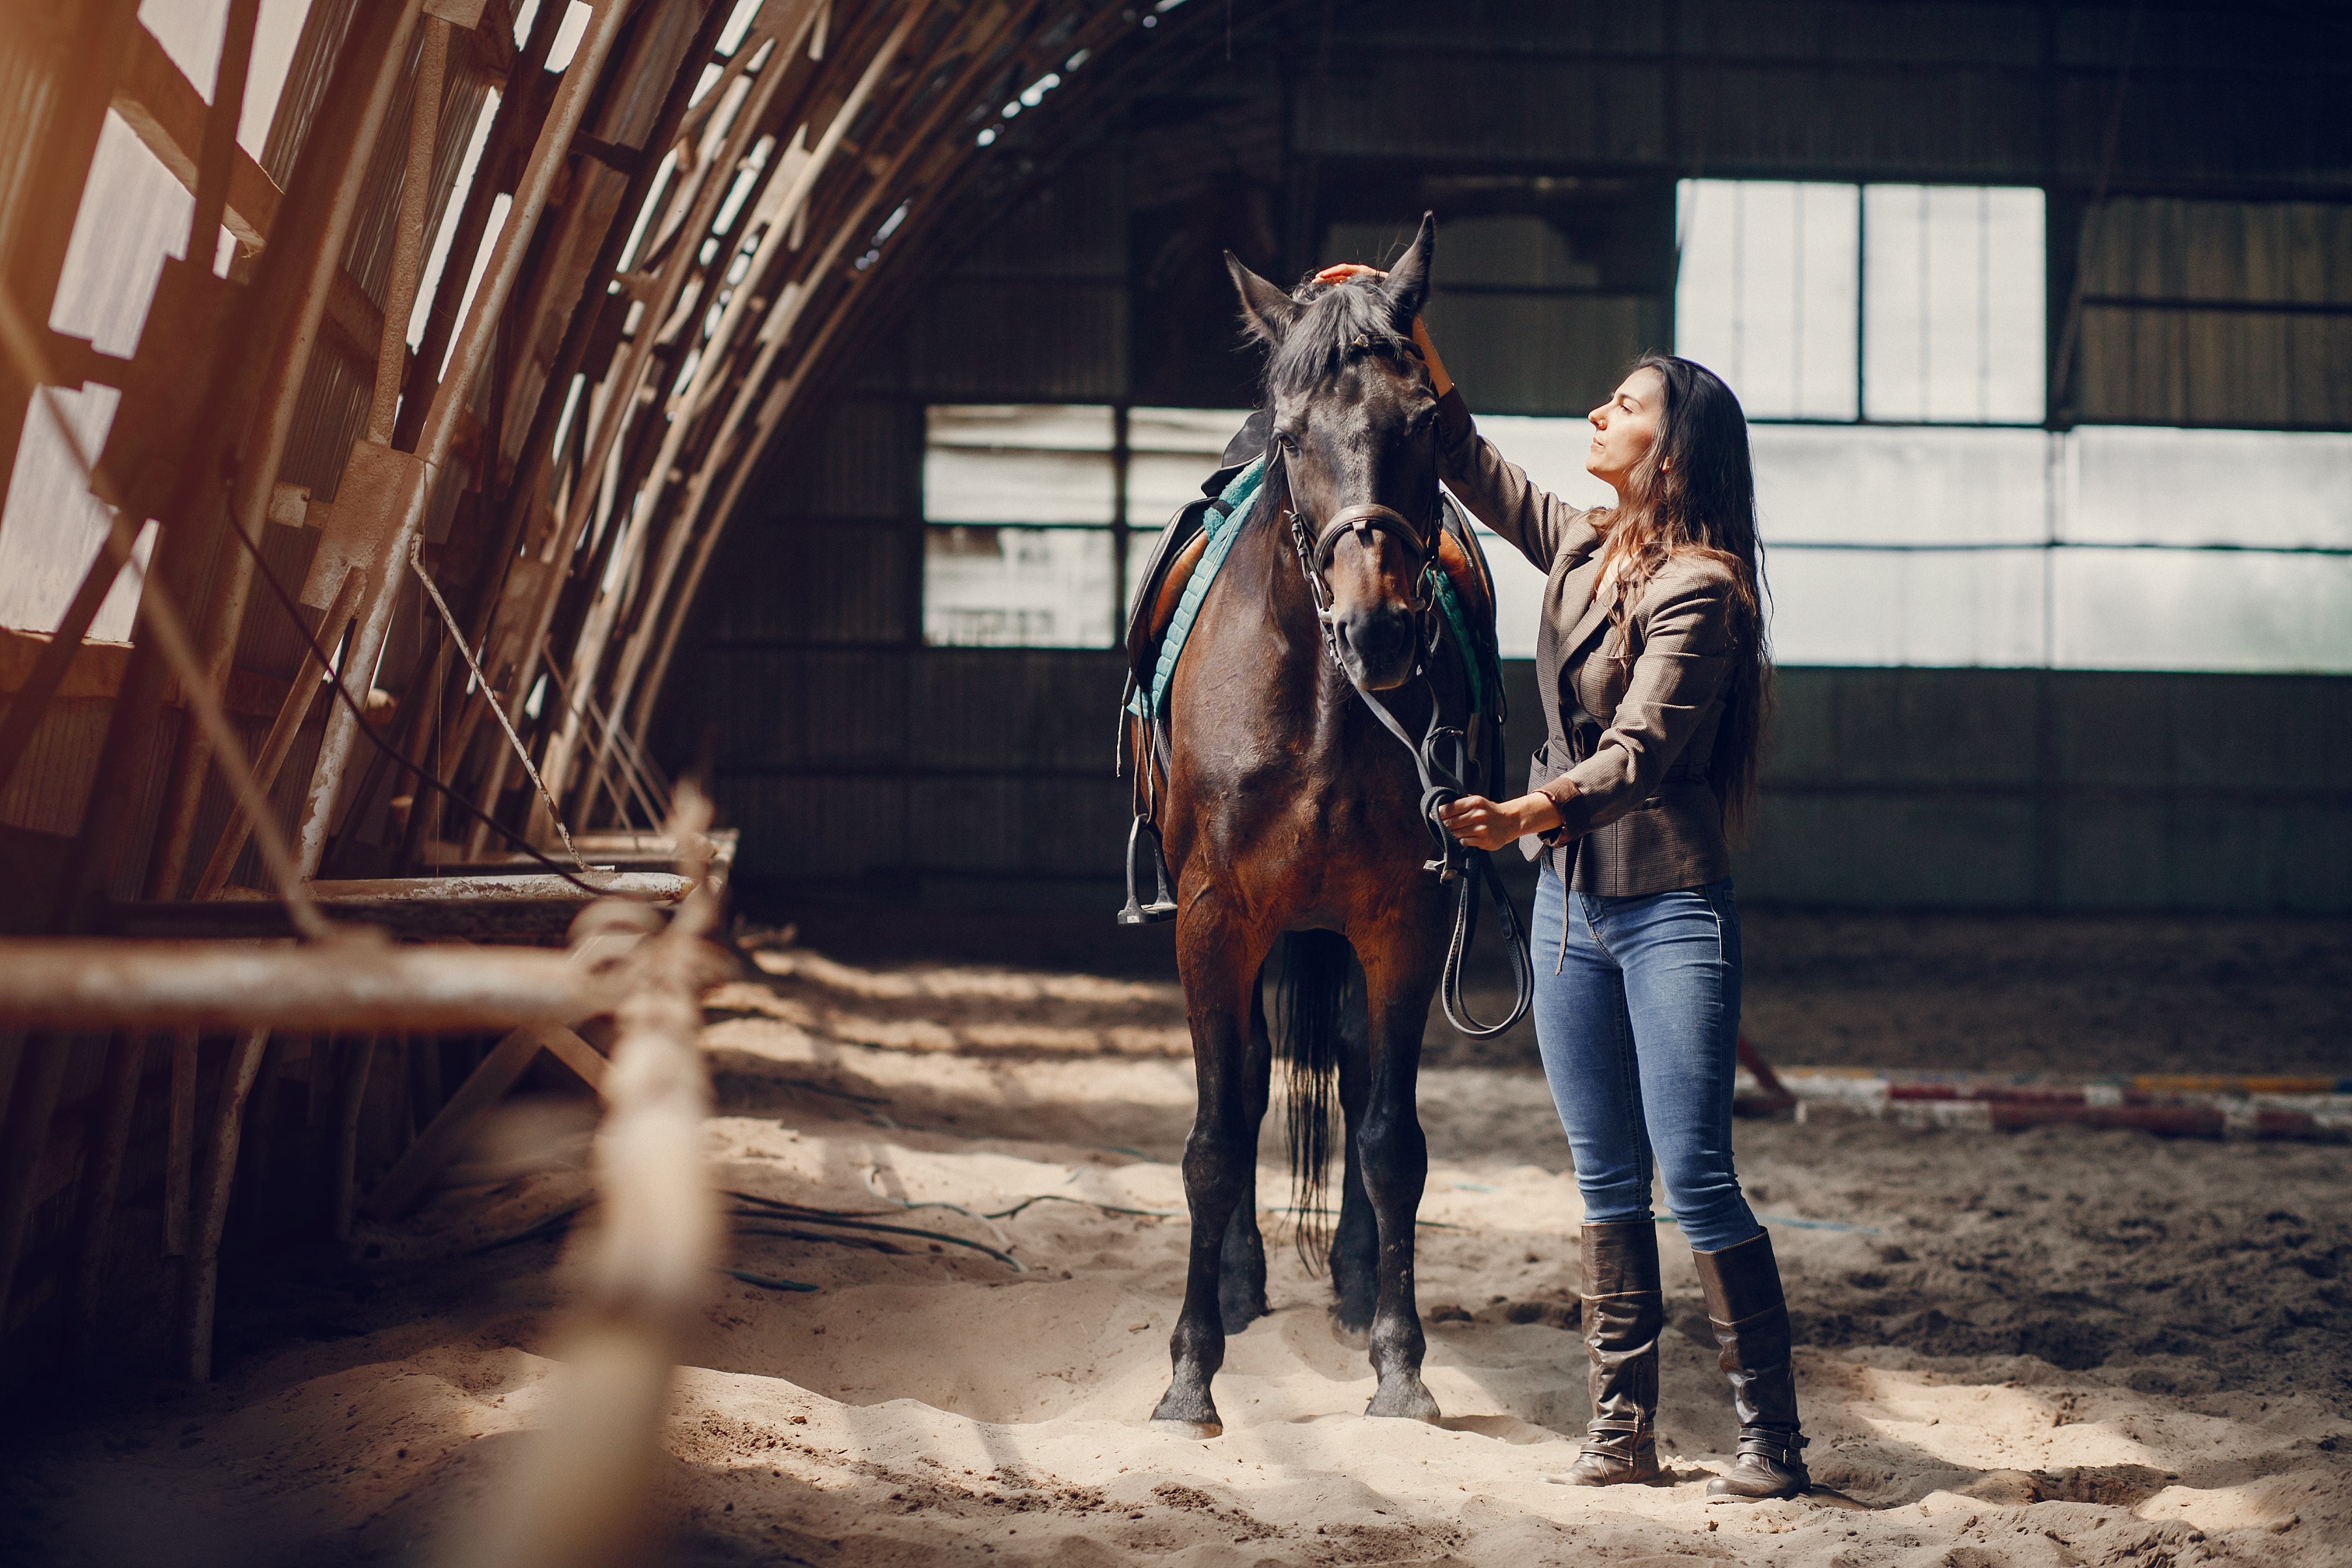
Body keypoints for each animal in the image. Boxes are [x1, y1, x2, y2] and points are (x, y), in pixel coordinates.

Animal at [1129, 215, 1505, 1437]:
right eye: (1297, 439)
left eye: (1426, 425)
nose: (1376, 627)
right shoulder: (1213, 921)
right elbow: (1214, 1137)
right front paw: (1190, 1374)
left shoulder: (1402, 924)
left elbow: (1390, 1140)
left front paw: (1401, 1363)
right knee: (1249, 1085)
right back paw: (1244, 1285)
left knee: (1344, 1071)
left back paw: (1345, 1281)